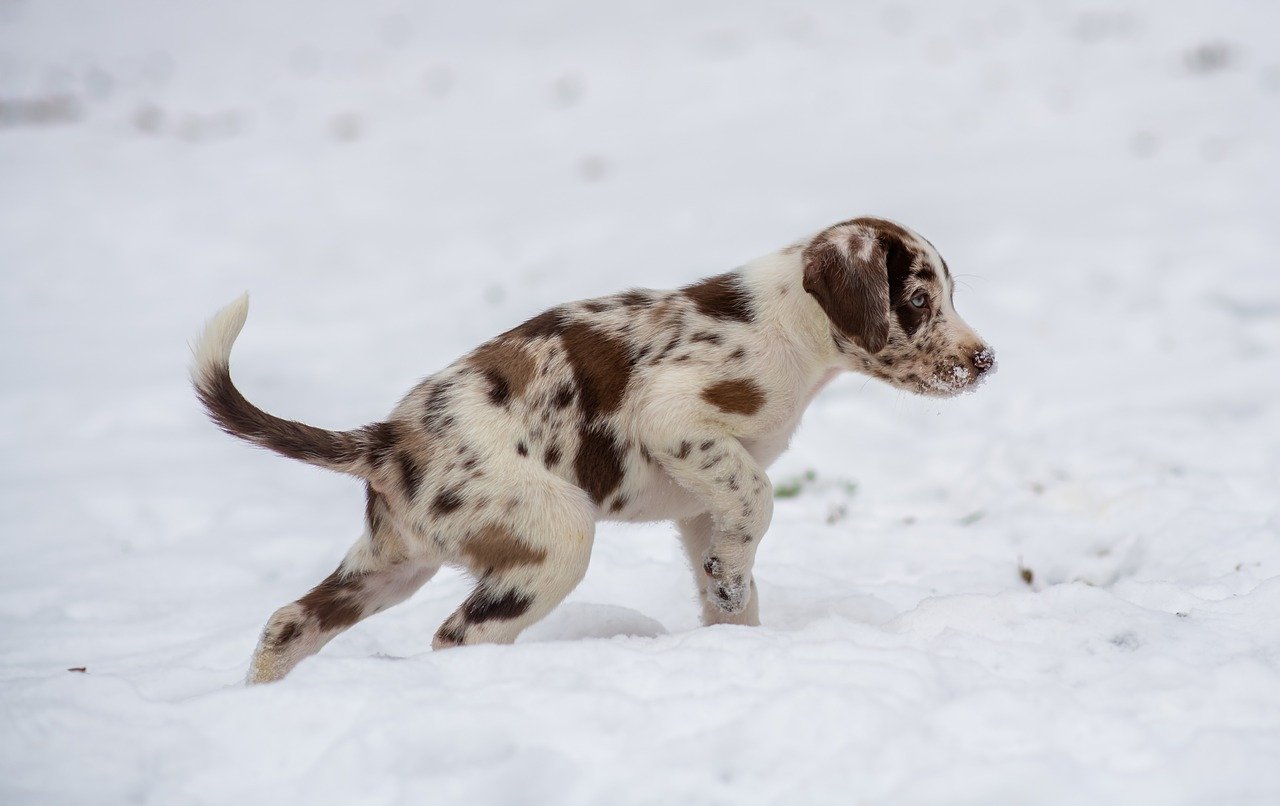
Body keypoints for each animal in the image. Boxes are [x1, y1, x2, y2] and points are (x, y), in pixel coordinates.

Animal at [189, 217, 993, 685]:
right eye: (918, 300)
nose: (985, 362)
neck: (789, 325)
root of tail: (386, 440)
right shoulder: (676, 419)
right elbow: (760, 502)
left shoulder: (700, 503)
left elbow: (729, 571)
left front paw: (736, 625)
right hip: (554, 540)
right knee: (458, 636)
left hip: (392, 563)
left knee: (289, 622)